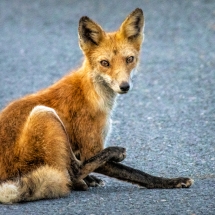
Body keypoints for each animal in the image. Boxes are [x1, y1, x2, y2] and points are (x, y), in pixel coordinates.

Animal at [0, 8, 193, 203]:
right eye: (105, 63)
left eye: (129, 59)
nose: (124, 86)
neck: (92, 94)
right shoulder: (90, 148)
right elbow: (137, 173)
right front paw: (169, 182)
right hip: (44, 113)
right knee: (73, 174)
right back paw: (112, 155)